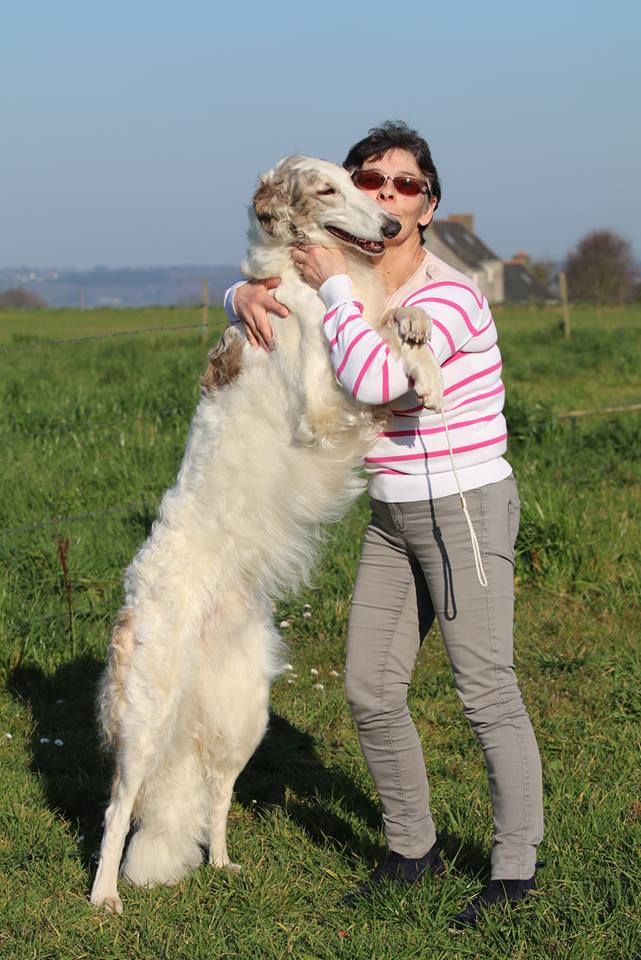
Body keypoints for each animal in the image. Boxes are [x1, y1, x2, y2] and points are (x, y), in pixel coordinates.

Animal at [89, 154, 440, 912]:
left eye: (364, 183)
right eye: (331, 188)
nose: (389, 226)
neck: (305, 277)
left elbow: (394, 323)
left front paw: (423, 343)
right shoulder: (320, 401)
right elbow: (373, 367)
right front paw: (415, 368)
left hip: (243, 715)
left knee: (217, 798)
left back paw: (223, 864)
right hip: (148, 714)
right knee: (117, 807)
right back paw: (103, 899)